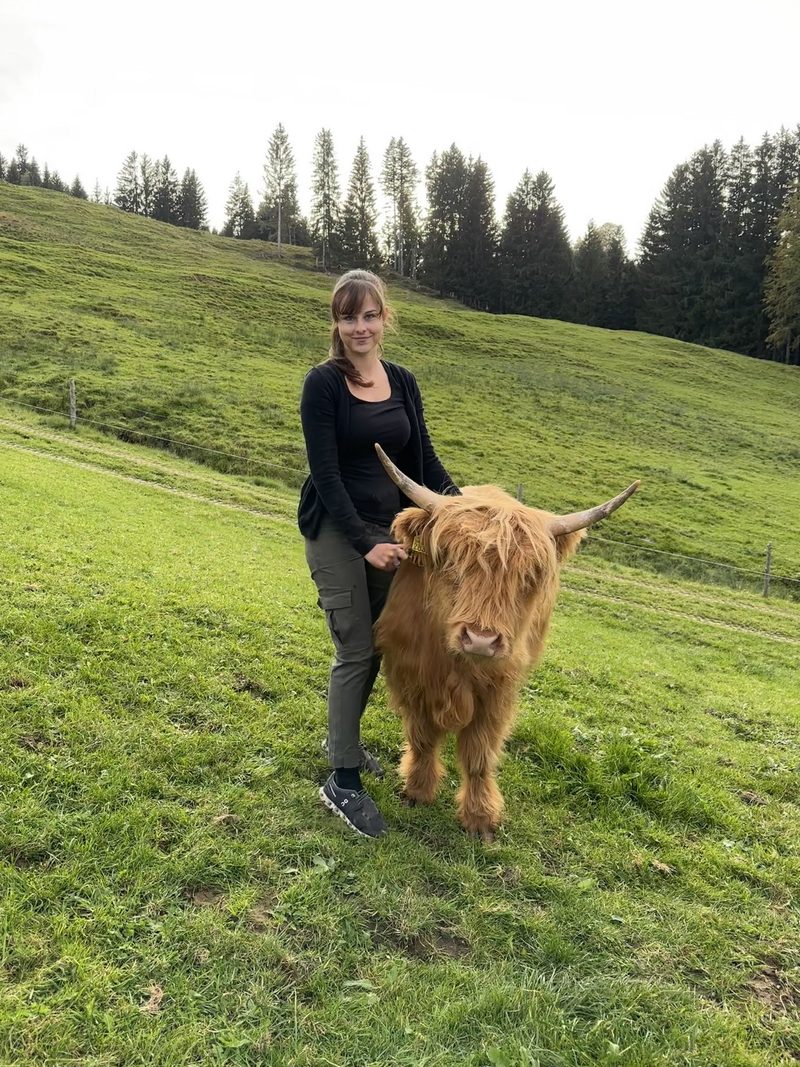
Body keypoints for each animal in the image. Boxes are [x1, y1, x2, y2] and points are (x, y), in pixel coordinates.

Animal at [373, 444, 639, 841]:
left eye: (529, 575)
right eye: (451, 561)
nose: (481, 640)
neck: (455, 666)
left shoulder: (498, 690)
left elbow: (479, 754)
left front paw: (480, 818)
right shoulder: (410, 674)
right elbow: (422, 737)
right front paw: (417, 790)